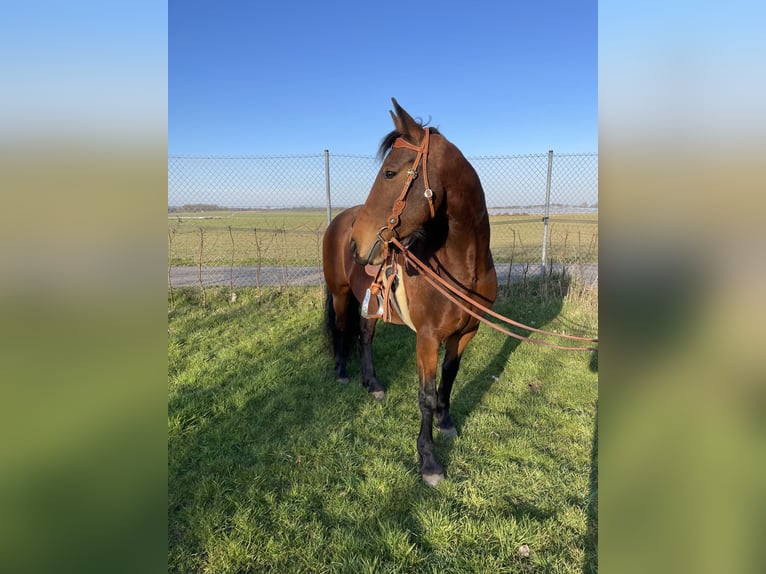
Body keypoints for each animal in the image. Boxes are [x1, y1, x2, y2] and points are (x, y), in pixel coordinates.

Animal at [322, 99, 498, 486]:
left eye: (389, 173)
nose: (358, 243)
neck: (462, 266)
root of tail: (338, 222)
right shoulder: (427, 339)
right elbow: (426, 396)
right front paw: (429, 461)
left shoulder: (466, 332)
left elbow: (450, 377)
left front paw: (447, 423)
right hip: (340, 294)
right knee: (342, 329)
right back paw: (342, 373)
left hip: (370, 304)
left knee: (365, 336)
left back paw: (371, 383)